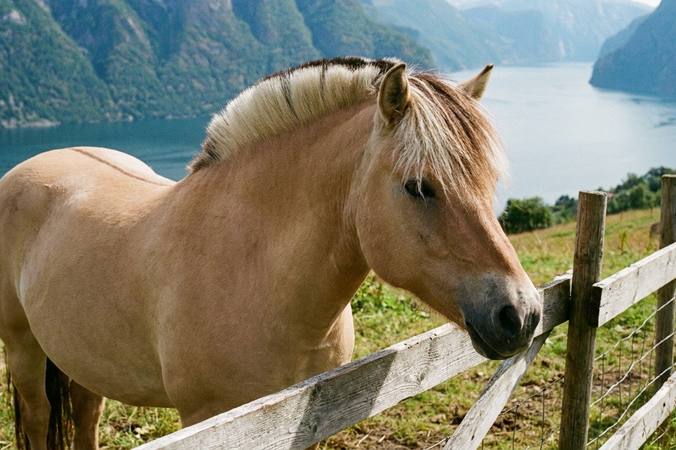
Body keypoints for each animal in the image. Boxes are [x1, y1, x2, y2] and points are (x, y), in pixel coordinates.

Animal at [0, 57, 542, 449]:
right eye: (418, 186)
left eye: (489, 182)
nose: (522, 314)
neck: (252, 269)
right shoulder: (208, 421)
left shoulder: (310, 417)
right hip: (23, 350)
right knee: (38, 415)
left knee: (85, 413)